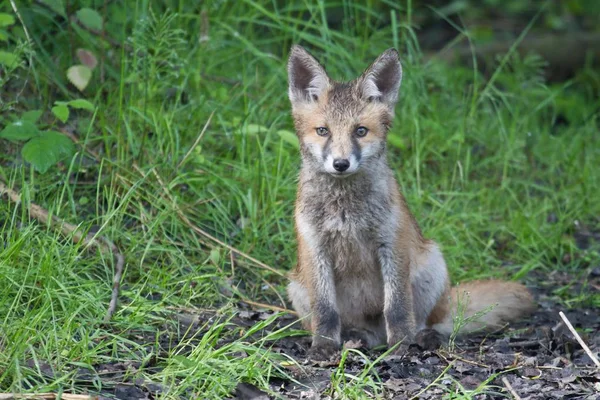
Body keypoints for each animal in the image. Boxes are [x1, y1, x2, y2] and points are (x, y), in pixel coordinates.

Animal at [284, 45, 536, 360]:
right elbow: (326, 311)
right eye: (323, 131)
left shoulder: (392, 243)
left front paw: (402, 345)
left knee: (433, 322)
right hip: (297, 286)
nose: (341, 164)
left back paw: (421, 337)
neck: (347, 213)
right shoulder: (315, 249)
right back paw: (357, 339)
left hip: (433, 264)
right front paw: (324, 345)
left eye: (360, 131)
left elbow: (397, 306)